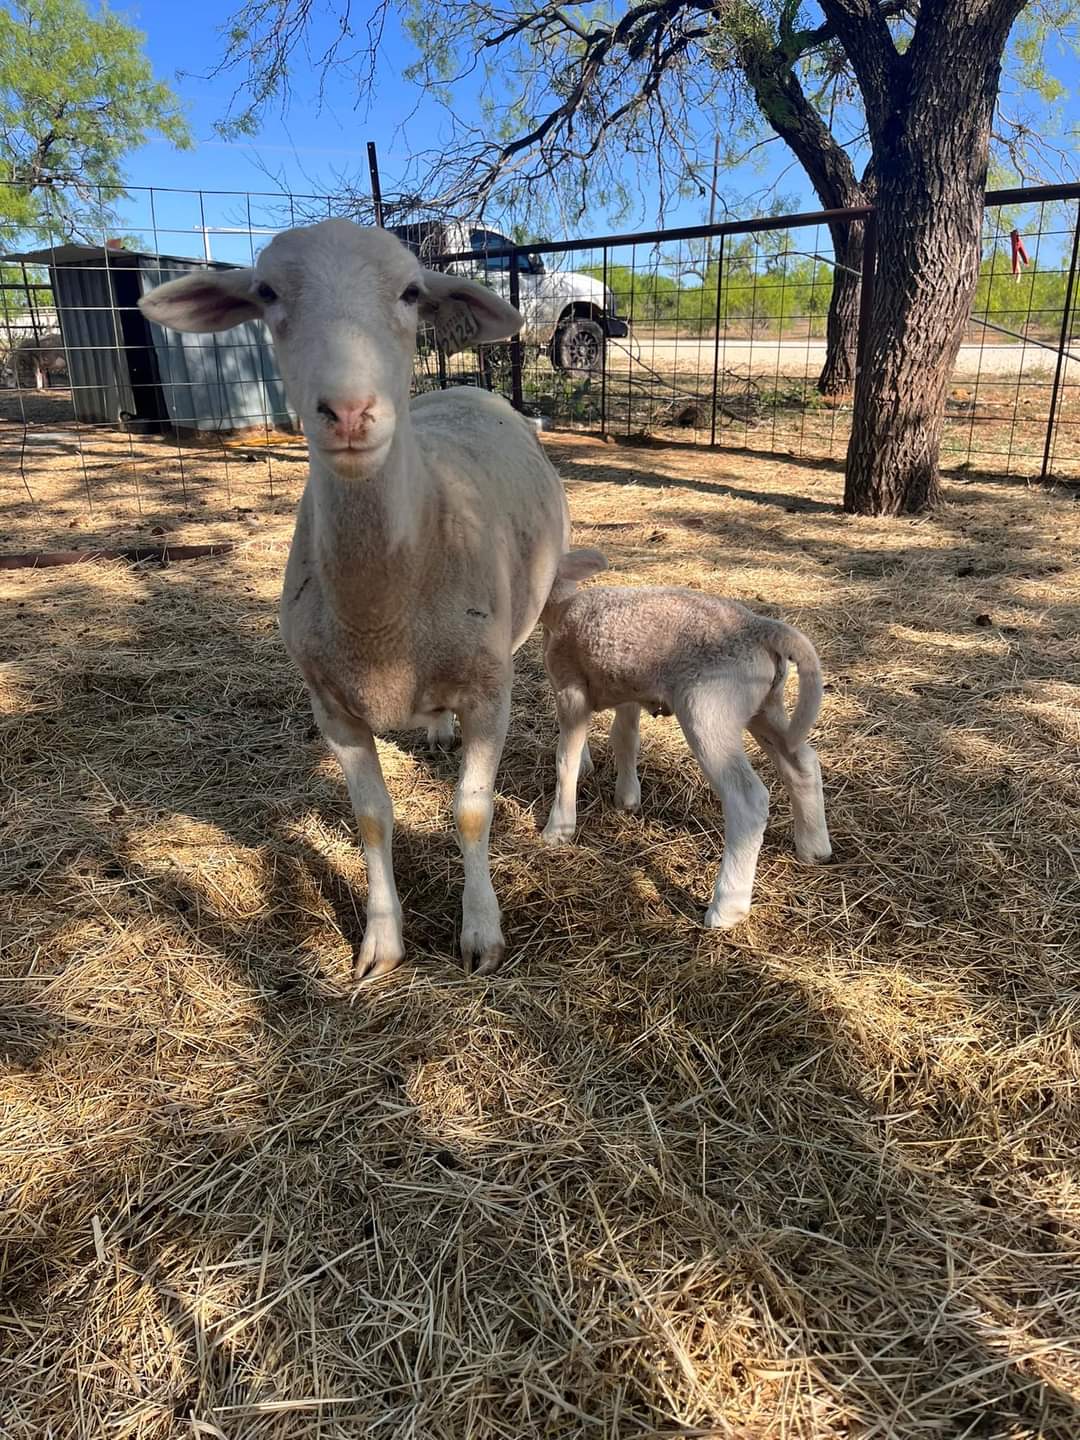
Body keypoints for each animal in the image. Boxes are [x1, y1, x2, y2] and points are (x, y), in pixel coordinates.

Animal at [139, 220, 570, 979]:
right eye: (265, 292)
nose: (348, 411)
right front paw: (380, 944)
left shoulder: (490, 690)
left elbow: (472, 811)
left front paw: (481, 933)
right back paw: (435, 728)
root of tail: (467, 388)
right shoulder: (332, 706)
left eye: (411, 293)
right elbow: (371, 819)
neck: (382, 613)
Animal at [539, 551, 832, 928]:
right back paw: (814, 847)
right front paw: (627, 798)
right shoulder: (628, 690)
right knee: (802, 763)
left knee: (748, 799)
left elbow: (567, 759)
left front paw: (557, 830)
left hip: (708, 708)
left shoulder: (571, 689)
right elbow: (625, 738)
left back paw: (726, 908)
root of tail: (764, 630)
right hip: (764, 706)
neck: (561, 606)